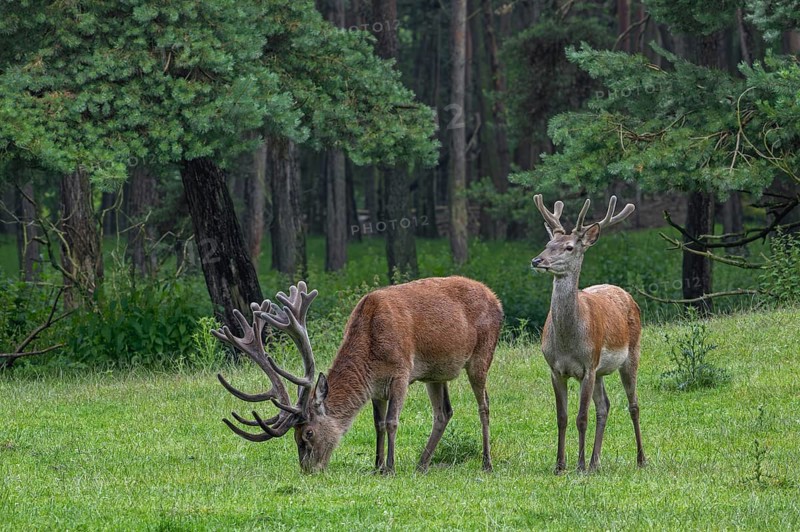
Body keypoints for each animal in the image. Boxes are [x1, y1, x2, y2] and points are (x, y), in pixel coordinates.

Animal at [213, 277, 503, 474]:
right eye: (296, 437)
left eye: (308, 434)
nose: (308, 470)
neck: (371, 350)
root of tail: (496, 298)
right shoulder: (375, 388)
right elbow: (377, 424)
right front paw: (377, 467)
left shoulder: (401, 373)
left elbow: (392, 422)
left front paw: (391, 467)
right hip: (435, 374)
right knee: (444, 412)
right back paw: (421, 464)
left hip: (481, 355)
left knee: (484, 404)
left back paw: (486, 462)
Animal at [531, 194, 646, 474]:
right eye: (548, 243)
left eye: (570, 247)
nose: (537, 261)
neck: (567, 343)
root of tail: (625, 293)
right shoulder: (554, 369)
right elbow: (562, 417)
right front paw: (560, 464)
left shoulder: (588, 366)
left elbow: (581, 417)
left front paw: (579, 465)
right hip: (602, 371)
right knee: (604, 406)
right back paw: (596, 461)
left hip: (631, 354)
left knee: (633, 405)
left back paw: (640, 459)